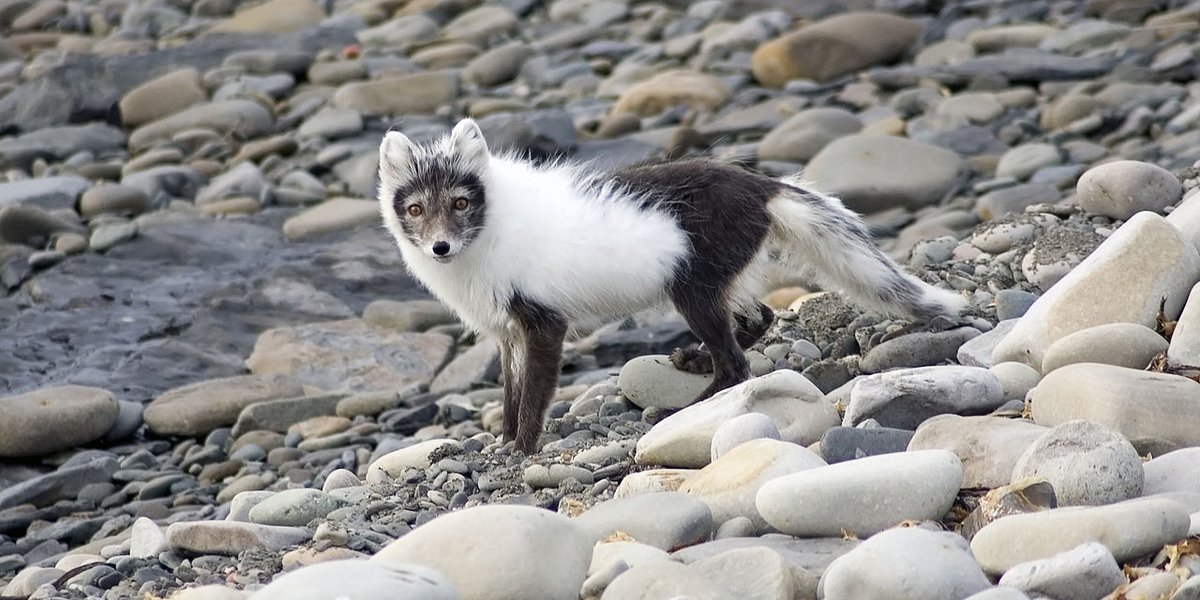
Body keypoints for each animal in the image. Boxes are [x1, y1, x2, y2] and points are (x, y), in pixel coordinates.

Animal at [374, 119, 964, 451]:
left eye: (460, 202)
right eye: (416, 209)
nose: (440, 248)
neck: (490, 235)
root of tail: (760, 184)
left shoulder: (544, 323)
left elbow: (536, 394)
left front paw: (521, 450)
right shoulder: (506, 332)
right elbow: (511, 393)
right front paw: (500, 442)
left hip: (692, 289)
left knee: (737, 365)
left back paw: (684, 407)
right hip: (717, 282)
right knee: (760, 318)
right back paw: (693, 360)